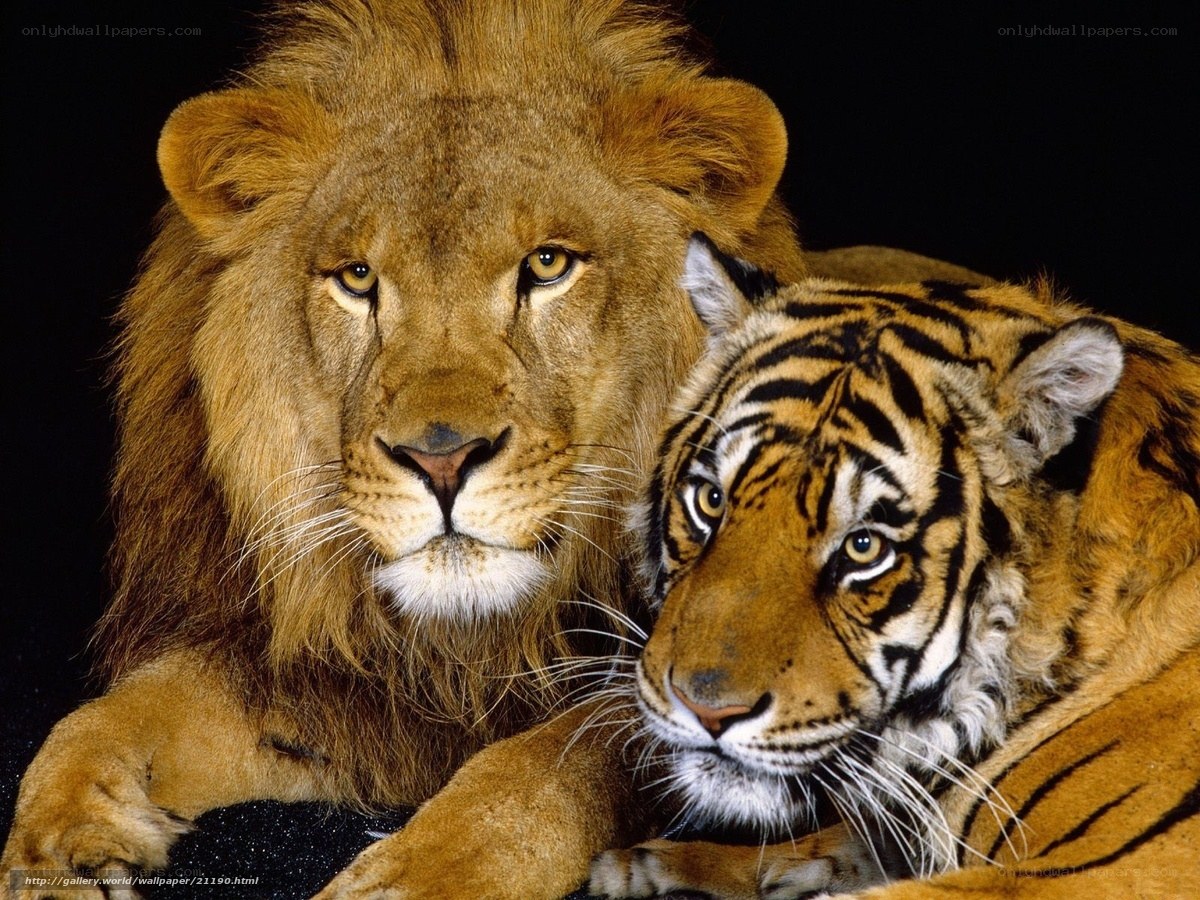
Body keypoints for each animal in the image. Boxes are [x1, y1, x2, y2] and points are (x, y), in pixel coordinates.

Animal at [2, 2, 984, 897]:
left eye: (548, 265)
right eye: (358, 278)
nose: (441, 459)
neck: (469, 644)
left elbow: (547, 766)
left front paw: (417, 875)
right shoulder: (329, 684)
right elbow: (104, 720)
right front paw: (61, 852)